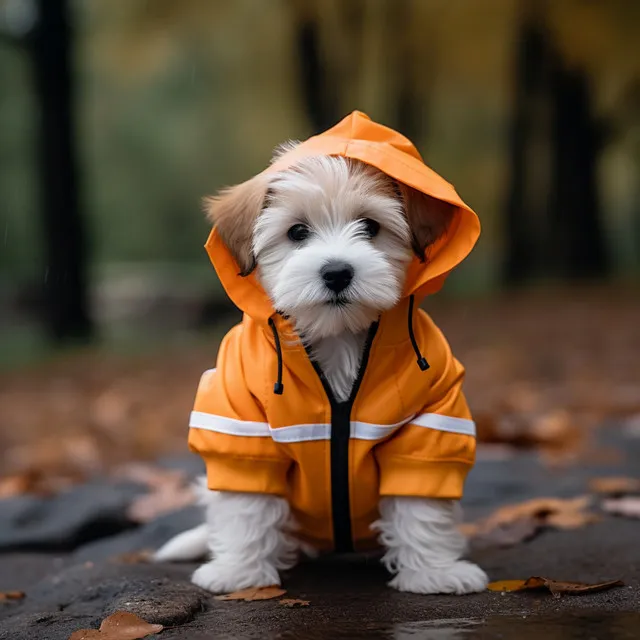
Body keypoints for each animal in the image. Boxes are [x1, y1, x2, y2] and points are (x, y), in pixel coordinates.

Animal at [155, 111, 490, 596]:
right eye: (297, 232)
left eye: (369, 227)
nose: (336, 272)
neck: (337, 337)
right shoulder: (240, 421)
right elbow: (247, 501)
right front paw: (240, 572)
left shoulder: (430, 421)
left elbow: (420, 500)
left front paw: (435, 571)